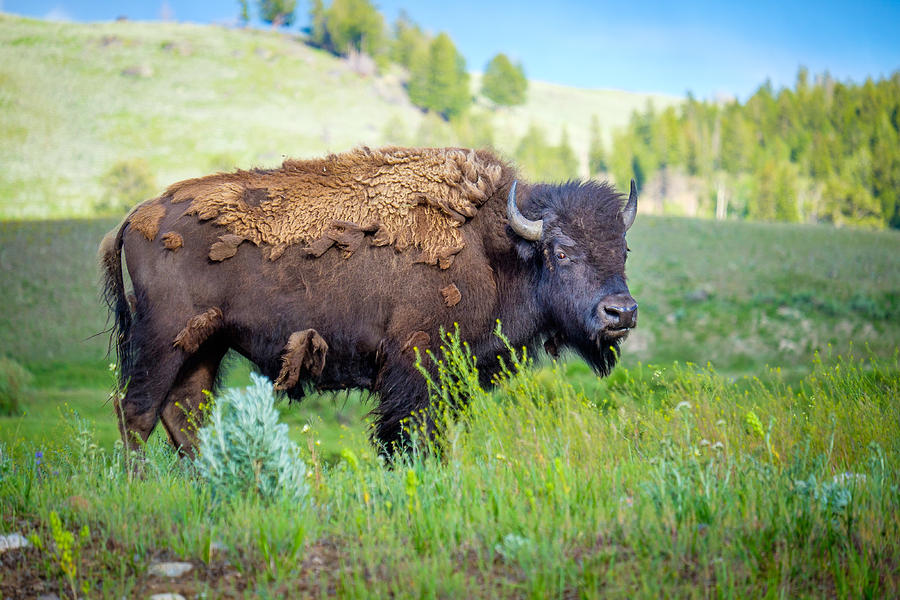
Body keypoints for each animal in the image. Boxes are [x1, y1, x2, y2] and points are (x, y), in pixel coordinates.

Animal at [100, 146, 640, 454]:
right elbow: (408, 435)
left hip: (205, 344)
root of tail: (136, 214)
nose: (621, 312)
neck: (496, 247)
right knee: (137, 413)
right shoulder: (415, 366)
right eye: (561, 251)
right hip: (163, 338)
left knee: (183, 415)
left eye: (623, 248)